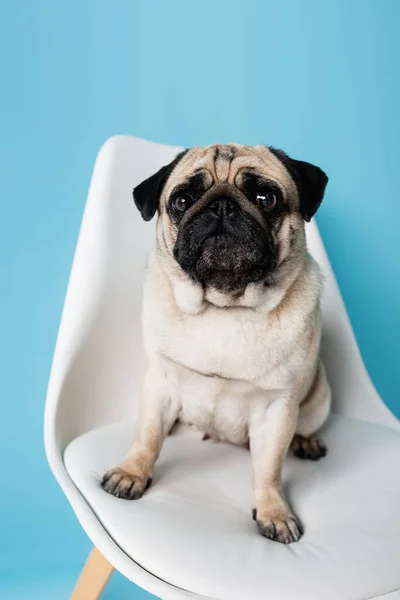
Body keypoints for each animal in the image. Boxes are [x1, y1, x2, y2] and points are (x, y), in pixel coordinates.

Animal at [102, 144, 332, 544]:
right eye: (182, 200)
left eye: (266, 198)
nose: (222, 206)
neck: (225, 306)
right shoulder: (160, 383)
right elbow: (147, 435)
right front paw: (132, 474)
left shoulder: (277, 408)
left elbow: (269, 469)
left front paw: (274, 513)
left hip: (320, 397)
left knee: (305, 427)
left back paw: (305, 442)